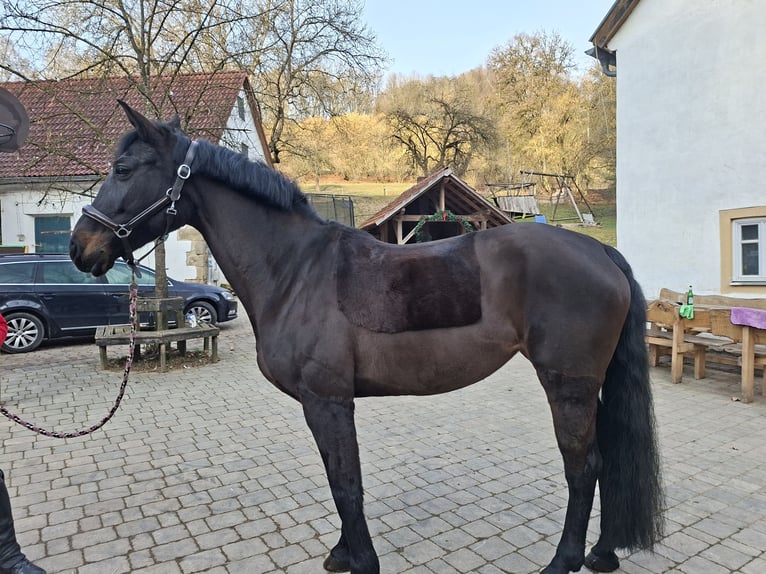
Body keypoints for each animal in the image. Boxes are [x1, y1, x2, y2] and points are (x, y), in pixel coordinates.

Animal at [70, 102, 663, 574]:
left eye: (123, 169)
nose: (81, 247)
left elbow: (346, 483)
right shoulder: (322, 405)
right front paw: (342, 553)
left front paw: (362, 560)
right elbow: (337, 479)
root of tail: (600, 251)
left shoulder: (328, 401)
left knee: (584, 467)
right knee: (606, 460)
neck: (295, 269)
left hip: (568, 385)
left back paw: (564, 561)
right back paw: (602, 554)